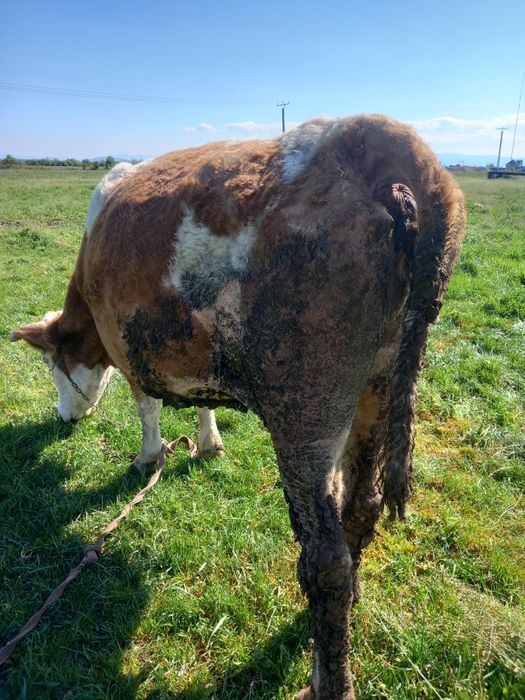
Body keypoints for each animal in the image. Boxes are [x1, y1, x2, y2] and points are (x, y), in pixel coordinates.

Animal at [11, 114, 465, 699]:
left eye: (51, 366)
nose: (65, 418)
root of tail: (380, 140)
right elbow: (202, 407)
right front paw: (207, 444)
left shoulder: (128, 344)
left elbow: (146, 406)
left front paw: (150, 456)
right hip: (379, 385)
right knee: (361, 508)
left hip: (303, 404)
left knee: (325, 561)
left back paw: (327, 679)